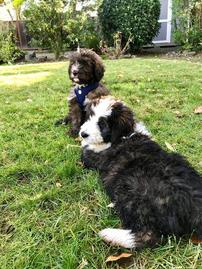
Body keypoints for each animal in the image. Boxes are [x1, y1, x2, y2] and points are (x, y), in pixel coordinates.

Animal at [79, 96, 202, 247]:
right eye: (89, 116)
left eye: (102, 124)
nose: (83, 134)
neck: (124, 135)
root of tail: (194, 205)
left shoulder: (97, 157)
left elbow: (85, 151)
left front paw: (84, 144)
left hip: (132, 194)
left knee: (148, 236)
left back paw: (111, 235)